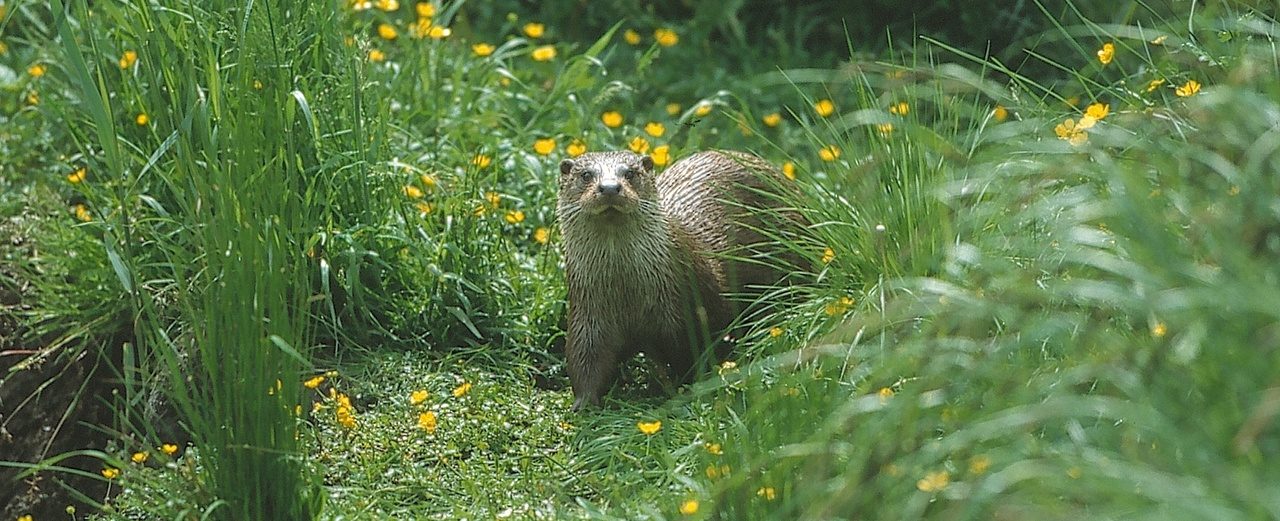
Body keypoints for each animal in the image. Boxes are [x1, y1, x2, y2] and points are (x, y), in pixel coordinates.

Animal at [558, 149, 798, 409]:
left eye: (630, 173)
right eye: (585, 175)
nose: (610, 187)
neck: (629, 294)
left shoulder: (689, 310)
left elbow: (695, 355)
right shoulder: (589, 316)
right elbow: (585, 359)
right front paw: (583, 403)